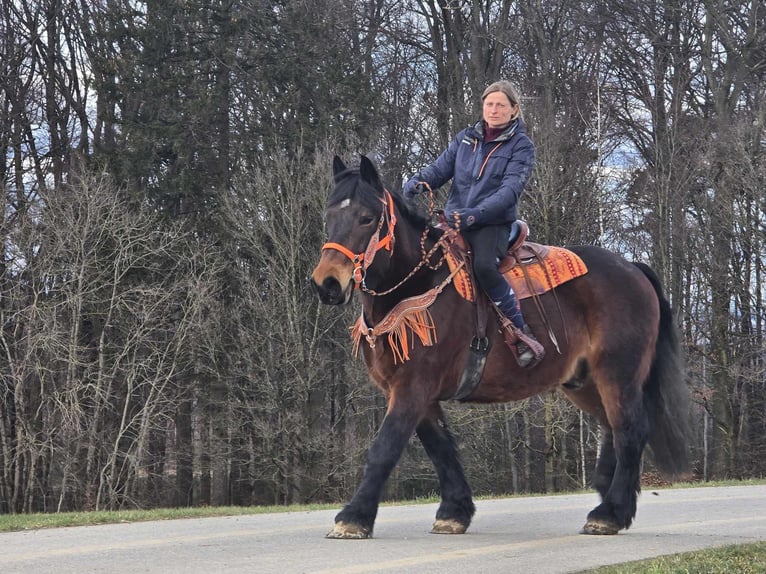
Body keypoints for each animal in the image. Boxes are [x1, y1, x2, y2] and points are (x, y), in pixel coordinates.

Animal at [308, 156, 692, 540]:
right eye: (328, 216)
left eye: (366, 218)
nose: (327, 283)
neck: (419, 285)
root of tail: (633, 269)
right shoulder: (417, 394)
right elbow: (441, 448)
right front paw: (455, 511)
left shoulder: (413, 387)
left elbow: (384, 448)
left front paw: (353, 517)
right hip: (584, 382)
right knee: (611, 428)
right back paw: (606, 501)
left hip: (618, 373)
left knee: (629, 431)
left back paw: (612, 512)